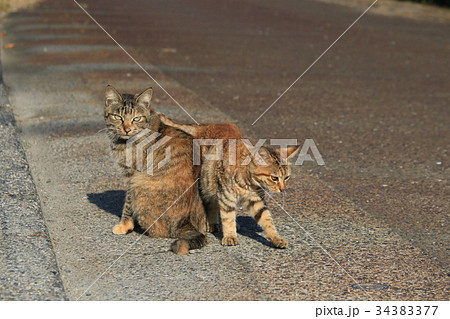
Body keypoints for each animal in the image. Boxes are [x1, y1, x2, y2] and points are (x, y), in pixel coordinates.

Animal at [104, 85, 207, 255]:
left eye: (136, 118)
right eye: (118, 117)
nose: (127, 129)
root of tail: (185, 224)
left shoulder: (132, 176)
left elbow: (127, 204)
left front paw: (125, 225)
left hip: (140, 182)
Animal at [158, 115, 298, 250]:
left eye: (286, 177)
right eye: (274, 178)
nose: (283, 189)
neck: (248, 182)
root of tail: (207, 125)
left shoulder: (256, 200)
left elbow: (267, 219)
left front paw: (276, 238)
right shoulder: (226, 197)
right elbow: (228, 217)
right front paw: (230, 236)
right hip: (206, 182)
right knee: (210, 203)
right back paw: (212, 223)